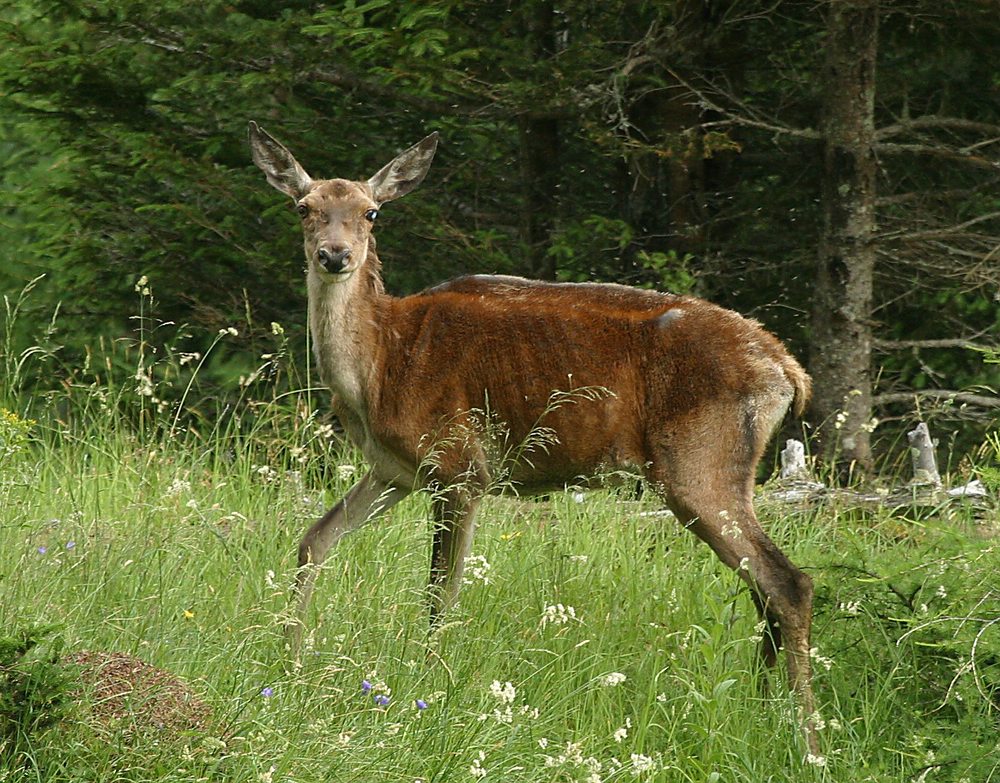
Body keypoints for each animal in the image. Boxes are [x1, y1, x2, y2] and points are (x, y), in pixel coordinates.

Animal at [248, 122, 820, 752]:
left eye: (371, 212)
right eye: (304, 207)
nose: (334, 255)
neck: (378, 367)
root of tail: (788, 371)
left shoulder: (461, 465)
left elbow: (439, 596)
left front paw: (429, 689)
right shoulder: (395, 471)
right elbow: (313, 542)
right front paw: (286, 663)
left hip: (700, 461)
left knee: (787, 582)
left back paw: (808, 739)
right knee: (762, 586)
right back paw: (764, 710)